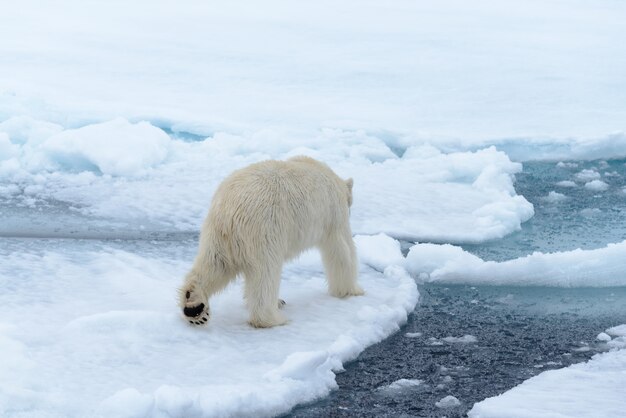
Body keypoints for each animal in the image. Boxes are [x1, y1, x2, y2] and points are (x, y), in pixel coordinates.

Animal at [178, 155, 364, 328]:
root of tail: (228, 208)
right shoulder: (334, 217)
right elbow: (342, 251)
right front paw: (353, 290)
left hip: (217, 235)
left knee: (214, 265)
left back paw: (194, 307)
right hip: (266, 228)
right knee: (265, 273)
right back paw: (273, 317)